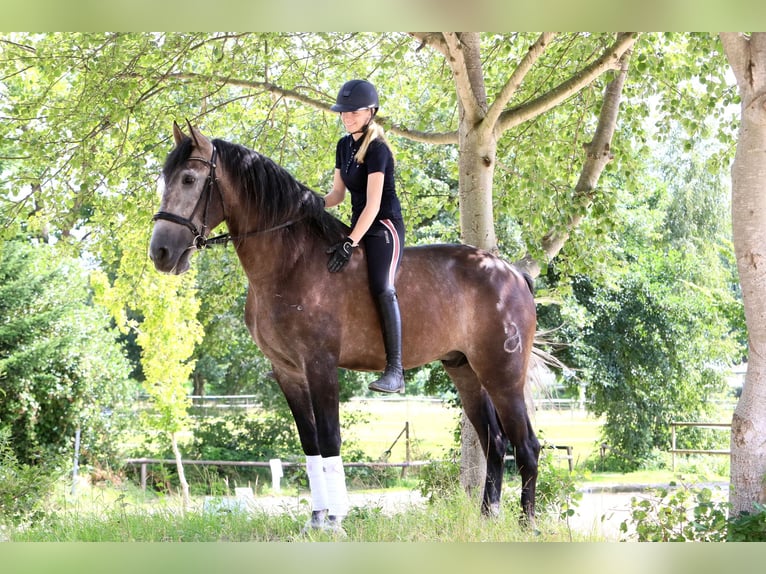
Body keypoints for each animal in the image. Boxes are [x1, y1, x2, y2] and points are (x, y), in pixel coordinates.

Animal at [149, 122, 540, 531]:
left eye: (189, 179)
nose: (160, 253)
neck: (291, 263)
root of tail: (512, 274)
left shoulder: (320, 365)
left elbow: (330, 440)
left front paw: (335, 519)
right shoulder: (288, 371)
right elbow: (310, 444)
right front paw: (316, 518)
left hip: (502, 375)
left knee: (527, 445)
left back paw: (527, 524)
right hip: (465, 370)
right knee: (494, 442)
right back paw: (486, 518)